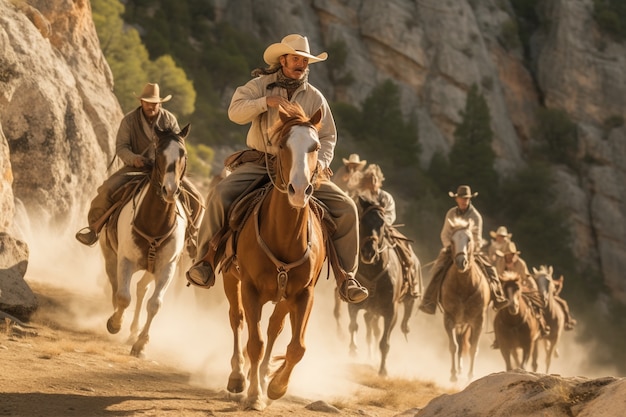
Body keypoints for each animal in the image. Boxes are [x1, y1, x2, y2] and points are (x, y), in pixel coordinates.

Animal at [100, 125, 190, 356]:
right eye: (159, 152)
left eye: (183, 154)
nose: (170, 190)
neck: (155, 223)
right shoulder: (125, 260)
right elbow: (123, 296)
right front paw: (114, 323)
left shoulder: (166, 268)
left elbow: (154, 304)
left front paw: (140, 343)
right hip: (110, 255)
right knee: (116, 285)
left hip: (151, 269)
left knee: (142, 289)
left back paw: (134, 330)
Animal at [221, 103, 326, 410]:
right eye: (282, 145)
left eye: (315, 146)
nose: (299, 190)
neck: (285, 236)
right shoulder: (250, 288)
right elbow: (254, 343)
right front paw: (254, 394)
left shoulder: (303, 294)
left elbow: (296, 347)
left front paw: (277, 385)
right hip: (230, 279)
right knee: (237, 319)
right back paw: (238, 376)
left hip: (283, 299)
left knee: (273, 329)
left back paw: (264, 374)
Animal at [344, 197, 412, 376]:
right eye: (362, 220)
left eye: (382, 223)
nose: (369, 252)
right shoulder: (355, 304)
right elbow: (353, 326)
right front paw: (353, 349)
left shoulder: (390, 312)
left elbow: (384, 342)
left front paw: (383, 370)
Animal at [438, 216, 492, 382]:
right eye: (452, 240)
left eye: (469, 239)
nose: (461, 262)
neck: (464, 286)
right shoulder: (449, 319)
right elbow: (453, 346)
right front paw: (453, 375)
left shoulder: (478, 320)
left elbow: (473, 348)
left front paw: (470, 376)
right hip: (460, 323)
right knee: (460, 343)